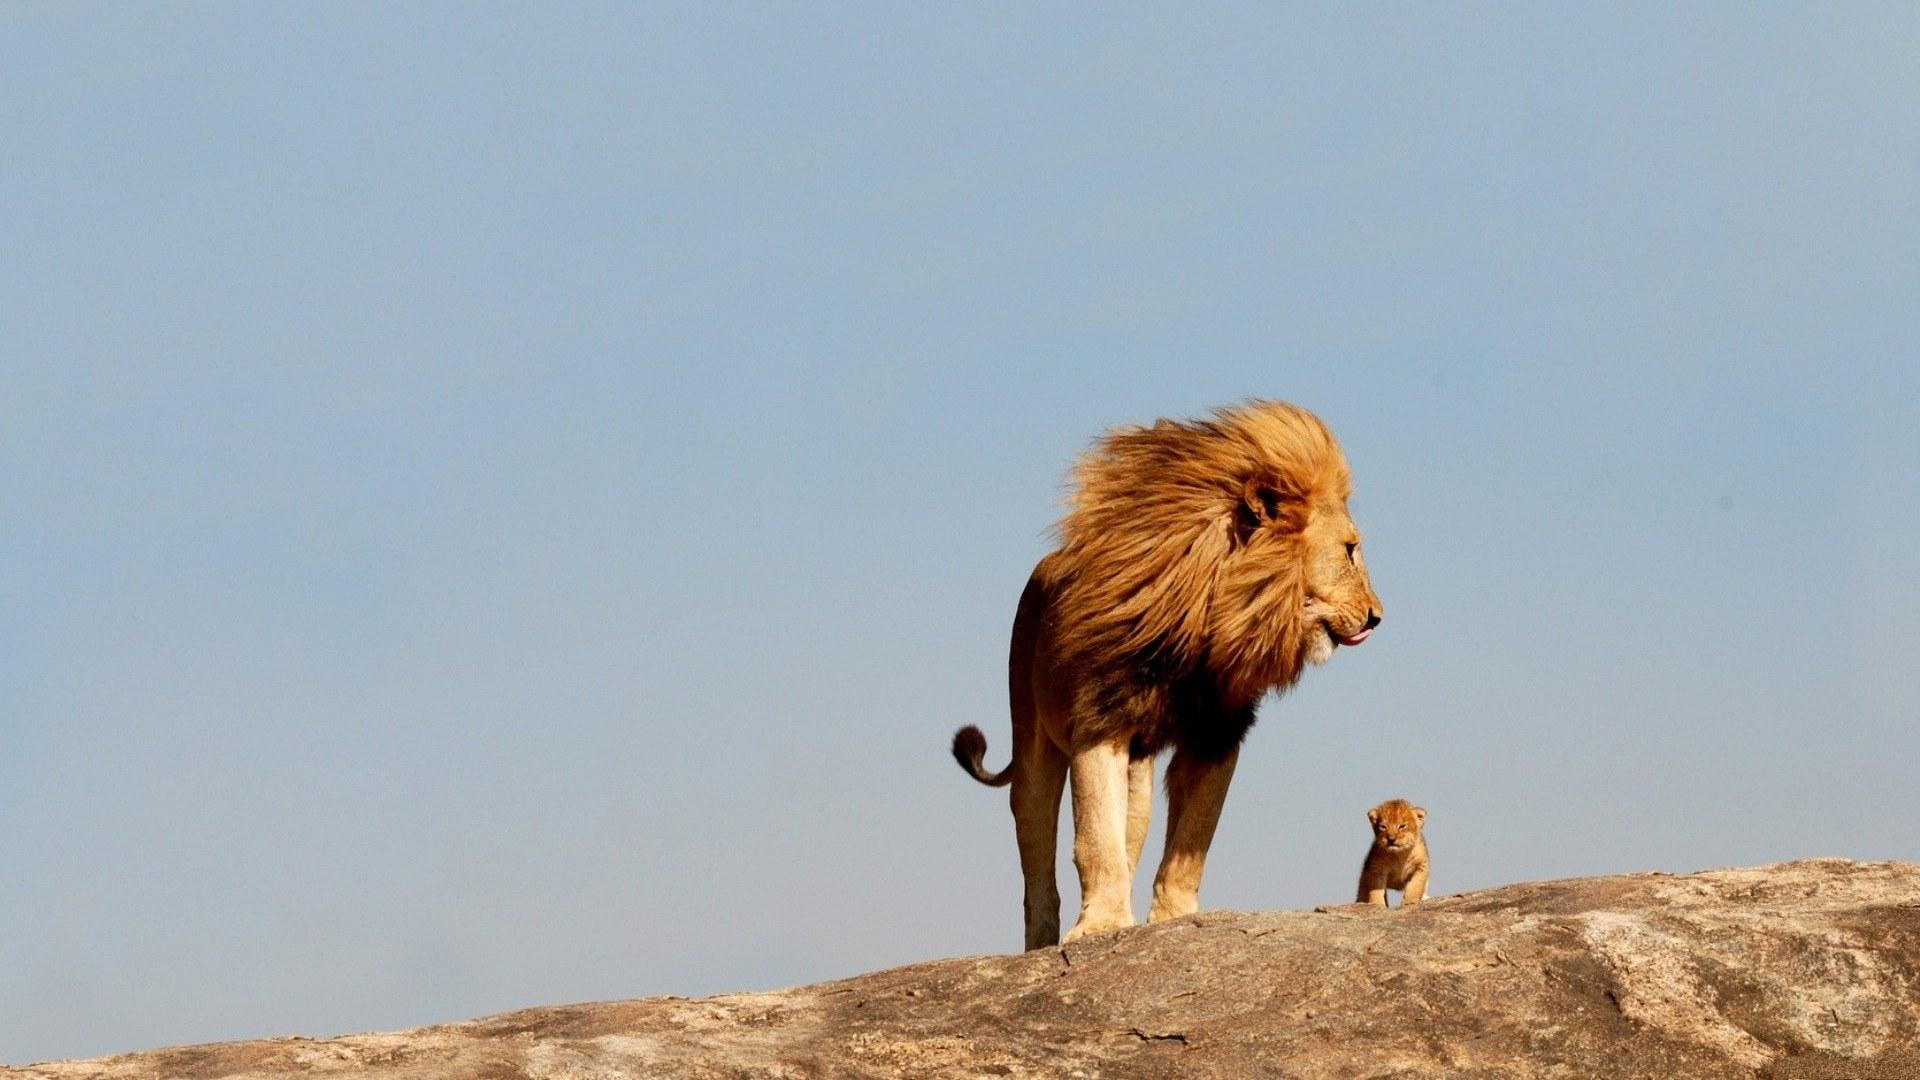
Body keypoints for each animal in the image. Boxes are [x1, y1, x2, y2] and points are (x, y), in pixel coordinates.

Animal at [952, 400, 1382, 949]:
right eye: (1350, 550)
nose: (1377, 616)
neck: (1209, 619)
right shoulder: (1100, 722)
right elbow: (1095, 838)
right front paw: (1101, 926)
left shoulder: (1217, 734)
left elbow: (1191, 842)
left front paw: (1172, 920)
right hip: (1032, 742)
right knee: (1037, 852)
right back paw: (1042, 942)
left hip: (1139, 776)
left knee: (1130, 833)